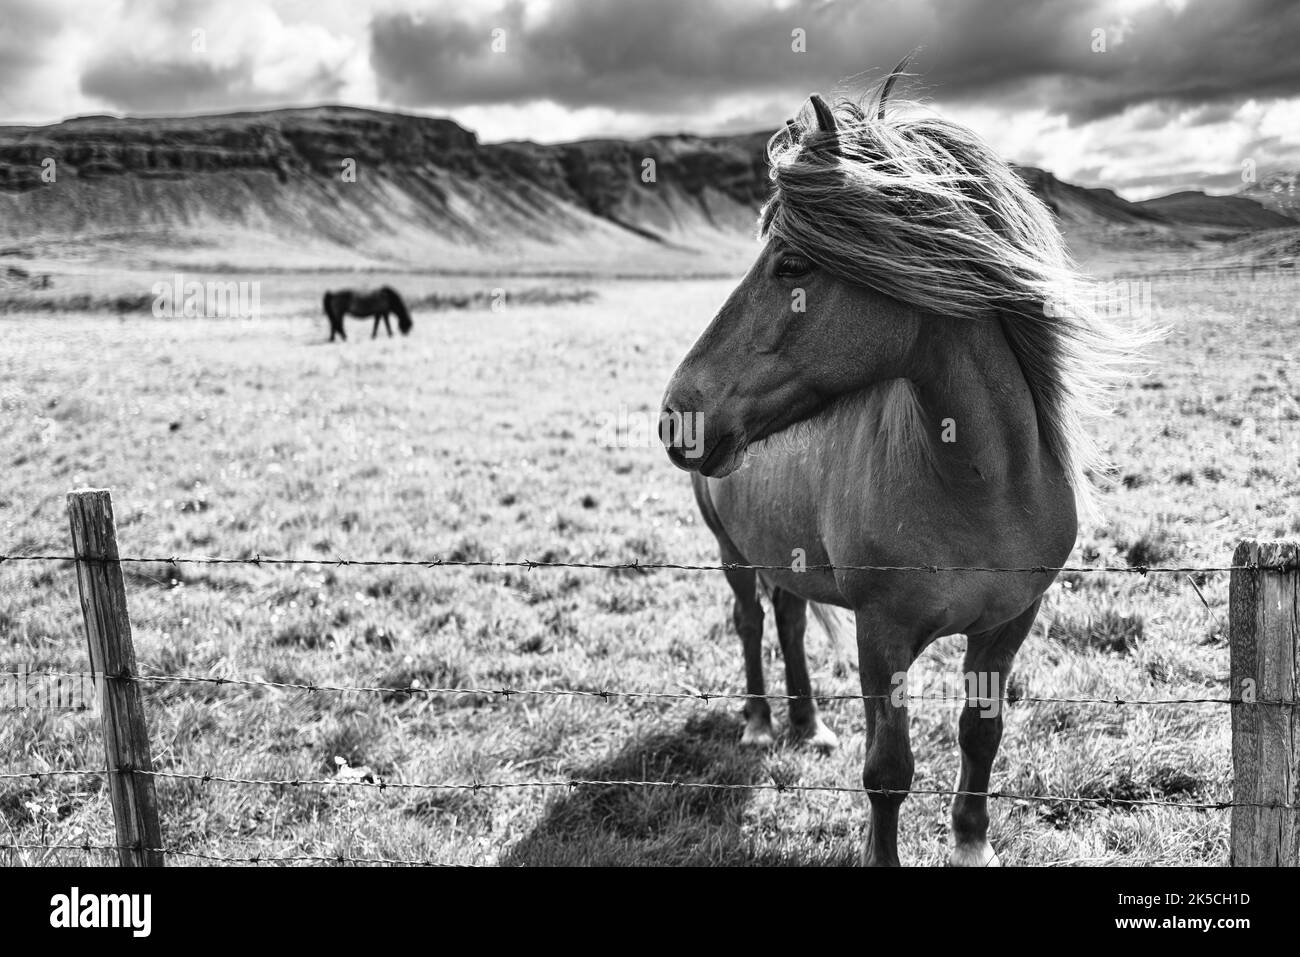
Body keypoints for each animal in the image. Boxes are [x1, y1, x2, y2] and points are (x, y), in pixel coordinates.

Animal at [659, 68, 1146, 866]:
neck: (982, 487)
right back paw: (760, 723)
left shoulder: (1008, 625)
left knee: (789, 619)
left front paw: (972, 843)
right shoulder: (880, 634)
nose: (678, 416)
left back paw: (807, 725)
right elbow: (888, 771)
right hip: (731, 549)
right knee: (750, 621)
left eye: (793, 264)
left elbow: (981, 734)